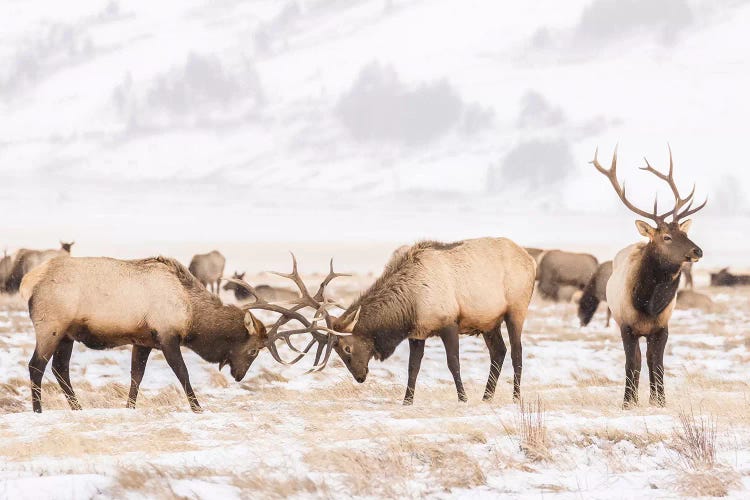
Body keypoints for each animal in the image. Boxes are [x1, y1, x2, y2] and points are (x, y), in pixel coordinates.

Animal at [248, 239, 540, 406]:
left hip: (516, 309)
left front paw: (463, 397)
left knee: (516, 351)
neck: (409, 305)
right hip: (488, 321)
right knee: (498, 351)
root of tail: (531, 259)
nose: (360, 377)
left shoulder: (449, 322)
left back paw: (515, 396)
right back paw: (487, 396)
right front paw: (407, 401)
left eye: (346, 348)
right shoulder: (417, 332)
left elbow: (453, 363)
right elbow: (413, 368)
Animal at [592, 144, 708, 406]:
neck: (648, 304)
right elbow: (631, 363)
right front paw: (628, 402)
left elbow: (657, 363)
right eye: (666, 237)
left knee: (649, 359)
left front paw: (660, 401)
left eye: (684, 234)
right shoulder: (626, 326)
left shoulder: (662, 327)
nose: (697, 250)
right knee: (636, 360)